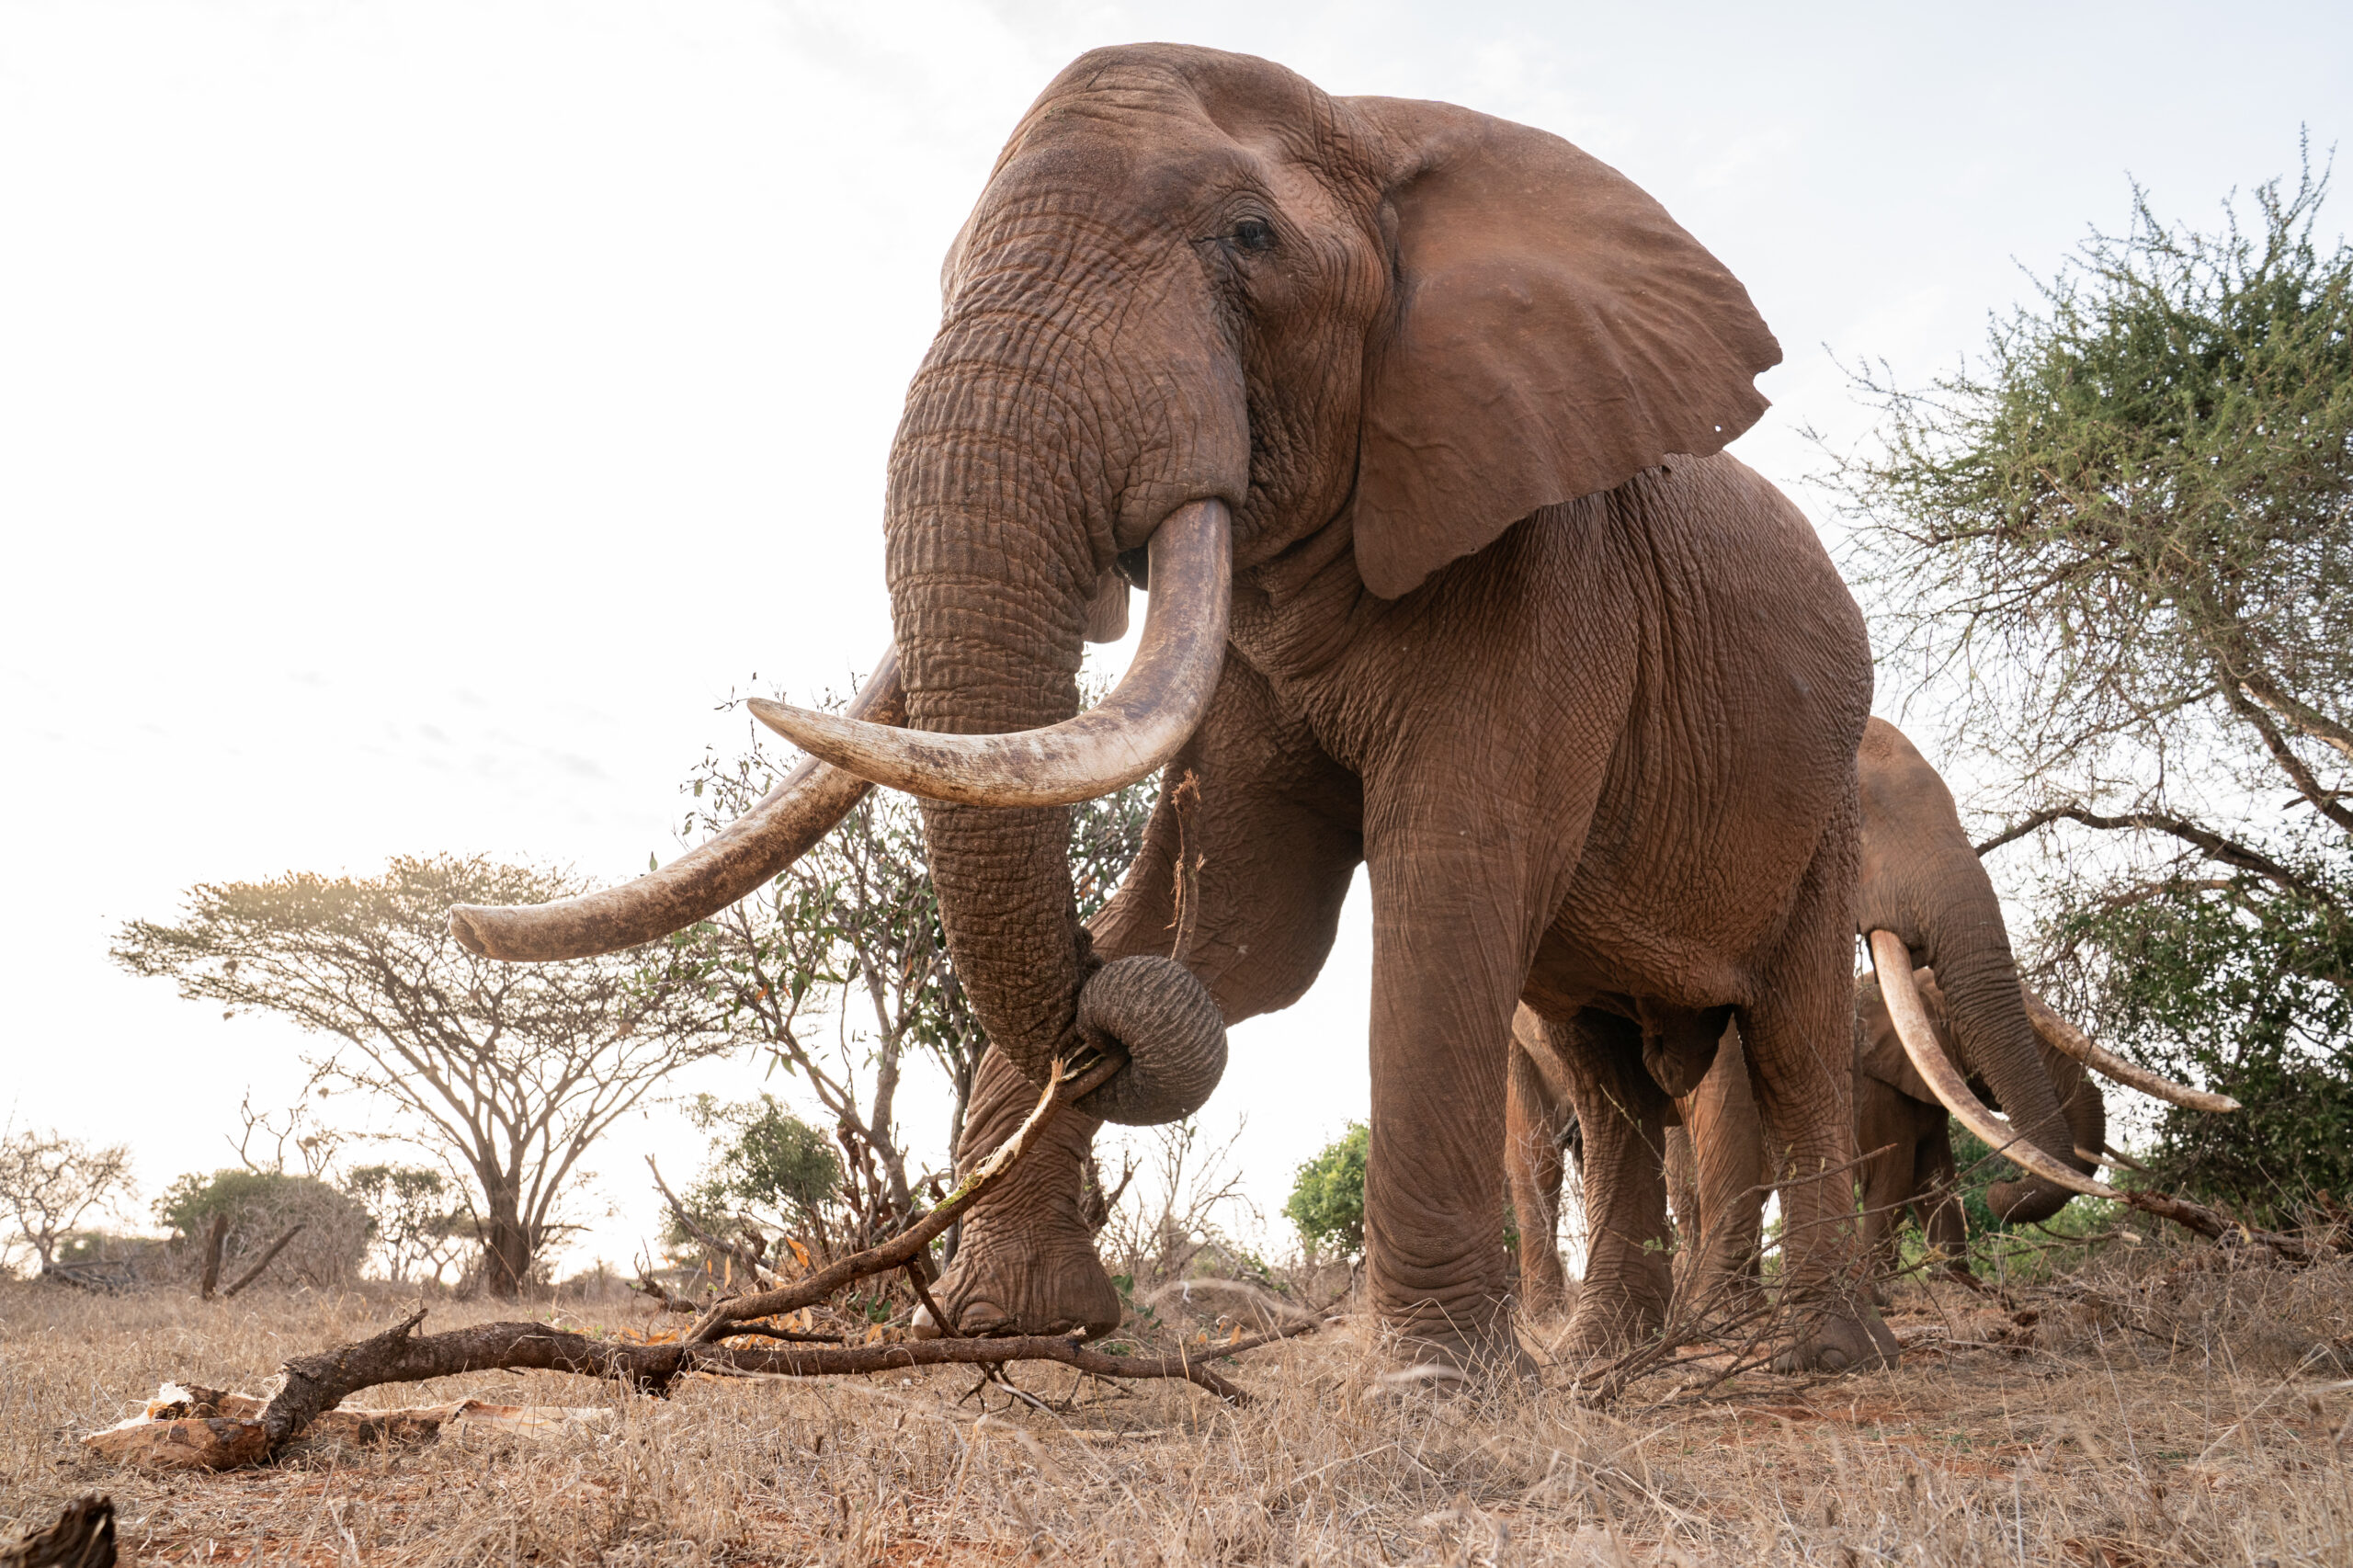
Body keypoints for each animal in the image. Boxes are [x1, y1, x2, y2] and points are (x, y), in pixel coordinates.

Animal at [451, 44, 1899, 1373]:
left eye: (1249, 240)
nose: (1095, 1025)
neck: (1386, 130)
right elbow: (1258, 923)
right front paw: (1013, 1322)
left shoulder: (1544, 563)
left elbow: (1448, 881)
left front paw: (1425, 1385)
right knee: (1604, 1072)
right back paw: (1608, 1362)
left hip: (1829, 794)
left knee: (1791, 1043)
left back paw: (1825, 1354)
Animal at [1508, 718, 2233, 1346]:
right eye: (1850, 830)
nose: (2002, 1192)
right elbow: (1778, 1126)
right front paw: (1739, 1323)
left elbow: (1927, 1174)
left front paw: (1951, 1289)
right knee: (1535, 1156)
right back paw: (1554, 1324)